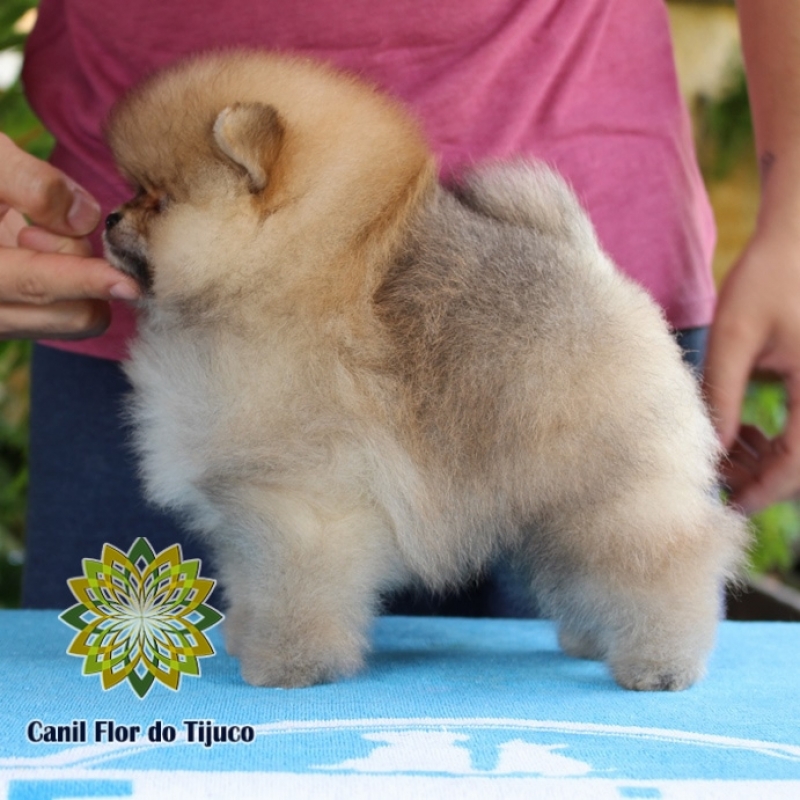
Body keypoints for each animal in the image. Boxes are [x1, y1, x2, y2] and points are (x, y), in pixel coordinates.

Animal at [103, 50, 748, 692]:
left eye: (158, 200)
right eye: (133, 189)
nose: (108, 216)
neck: (269, 275)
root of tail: (592, 265)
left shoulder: (299, 498)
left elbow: (294, 592)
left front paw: (287, 665)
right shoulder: (244, 506)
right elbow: (249, 581)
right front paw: (243, 638)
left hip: (609, 482)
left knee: (666, 558)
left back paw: (660, 663)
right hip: (561, 495)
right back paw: (593, 639)